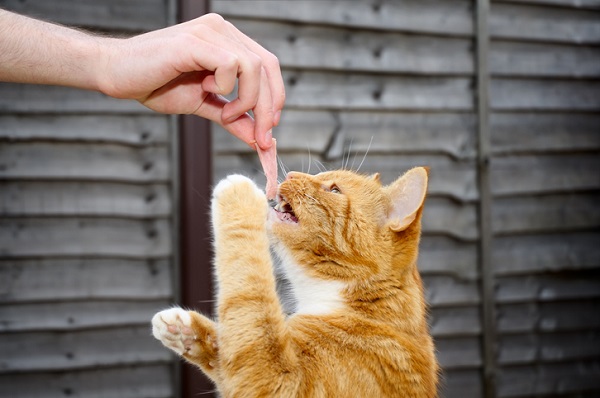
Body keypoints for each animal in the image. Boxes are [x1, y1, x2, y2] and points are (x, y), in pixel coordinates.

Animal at [152, 168, 438, 398]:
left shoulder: (281, 383)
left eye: (334, 189)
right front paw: (183, 329)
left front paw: (240, 195)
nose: (290, 175)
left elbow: (250, 294)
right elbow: (231, 338)